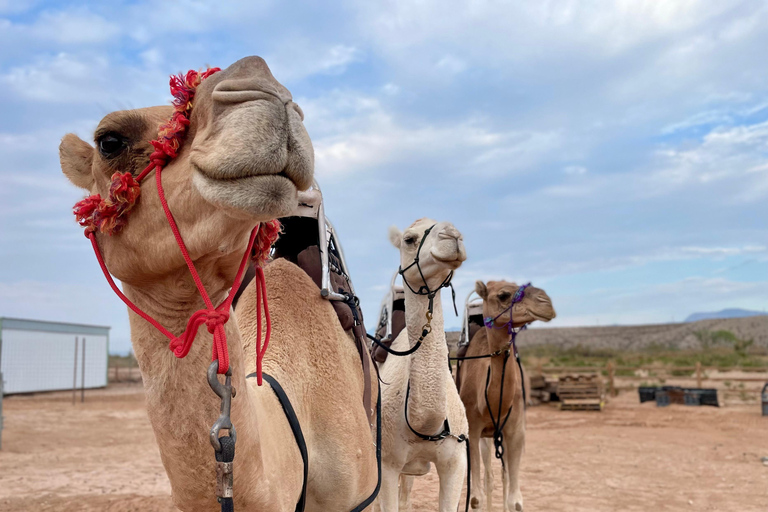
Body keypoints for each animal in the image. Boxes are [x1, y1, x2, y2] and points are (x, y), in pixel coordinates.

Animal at [457, 281, 555, 512]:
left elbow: (516, 501)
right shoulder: (473, 430)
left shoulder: (516, 430)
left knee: (503, 476)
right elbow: (475, 498)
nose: (546, 302)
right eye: (503, 295)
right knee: (489, 477)